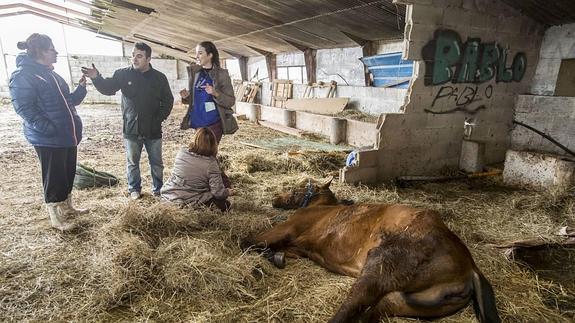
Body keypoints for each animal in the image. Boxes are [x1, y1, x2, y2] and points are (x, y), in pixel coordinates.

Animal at [241, 180, 502, 323]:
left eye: (296, 189)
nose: (275, 199)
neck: (322, 207)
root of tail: (470, 266)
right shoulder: (296, 246)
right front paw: (276, 257)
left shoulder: (286, 229)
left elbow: (248, 241)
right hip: (406, 300)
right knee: (372, 312)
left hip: (383, 263)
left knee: (354, 302)